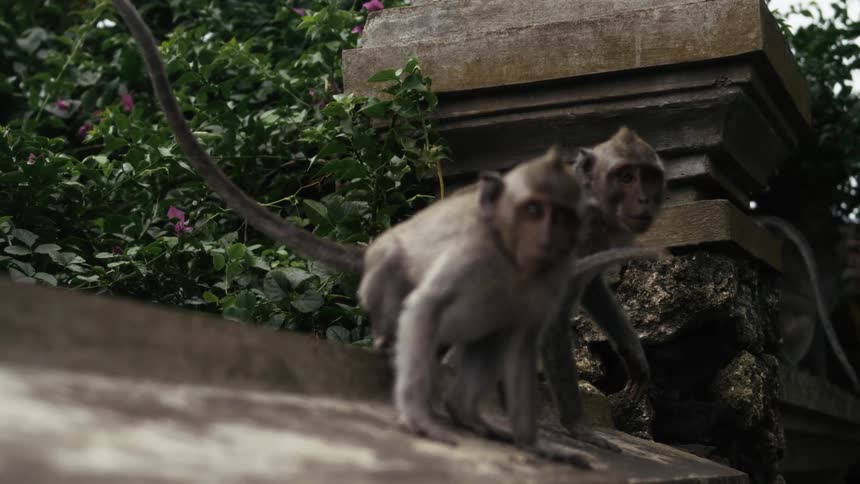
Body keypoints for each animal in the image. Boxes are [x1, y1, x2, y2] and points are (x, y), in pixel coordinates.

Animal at [757, 217, 860, 393]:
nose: (856, 262)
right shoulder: (830, 282)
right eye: (854, 248)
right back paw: (786, 360)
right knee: (809, 312)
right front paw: (823, 378)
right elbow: (820, 323)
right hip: (781, 298)